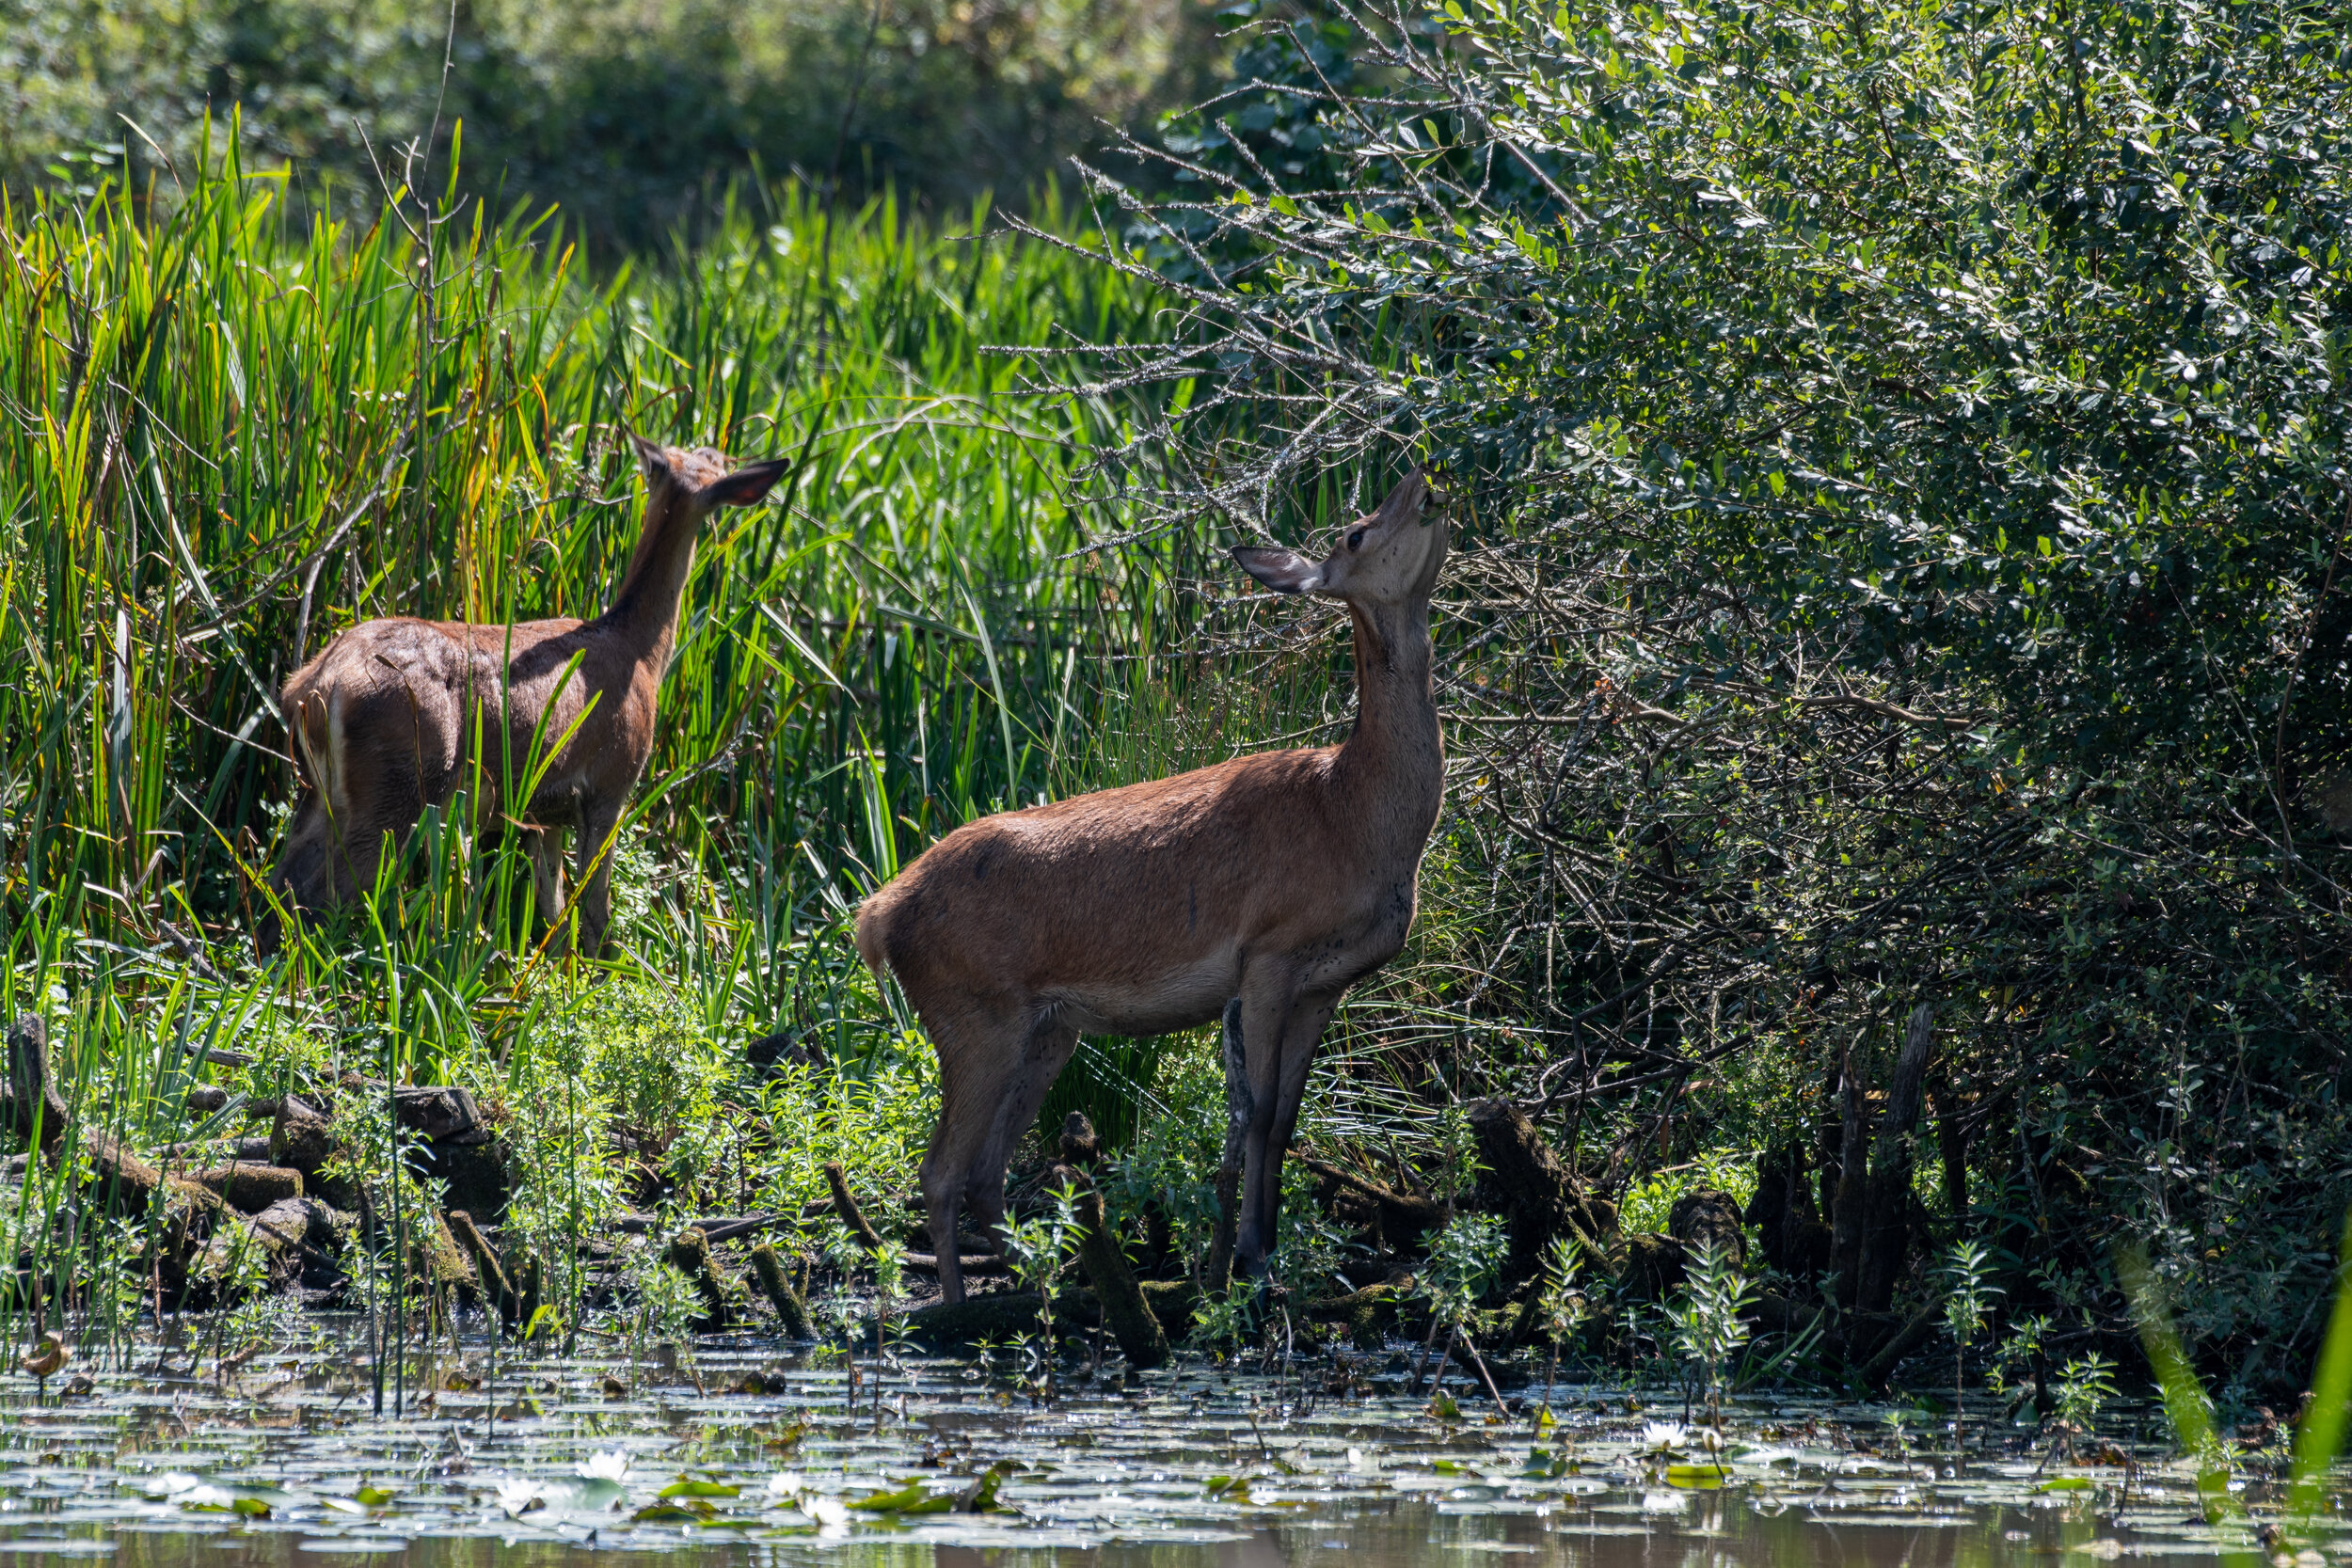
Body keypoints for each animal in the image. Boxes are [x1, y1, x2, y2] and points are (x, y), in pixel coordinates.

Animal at [260, 433, 790, 957]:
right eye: (717, 468)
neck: (640, 651)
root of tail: (317, 685)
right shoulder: (611, 782)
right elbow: (593, 913)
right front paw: (600, 973)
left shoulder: (544, 812)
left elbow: (552, 912)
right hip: (396, 784)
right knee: (325, 896)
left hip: (320, 788)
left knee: (280, 888)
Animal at [855, 471, 1445, 1304]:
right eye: (1357, 532)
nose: (1421, 479)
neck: (1355, 815)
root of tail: (877, 914)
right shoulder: (1268, 952)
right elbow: (1260, 1112)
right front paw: (1251, 1257)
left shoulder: (1326, 982)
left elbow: (1287, 1119)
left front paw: (1265, 1253)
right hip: (971, 1011)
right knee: (939, 1172)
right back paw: (962, 1310)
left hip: (1045, 1028)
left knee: (983, 1172)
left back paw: (1045, 1288)